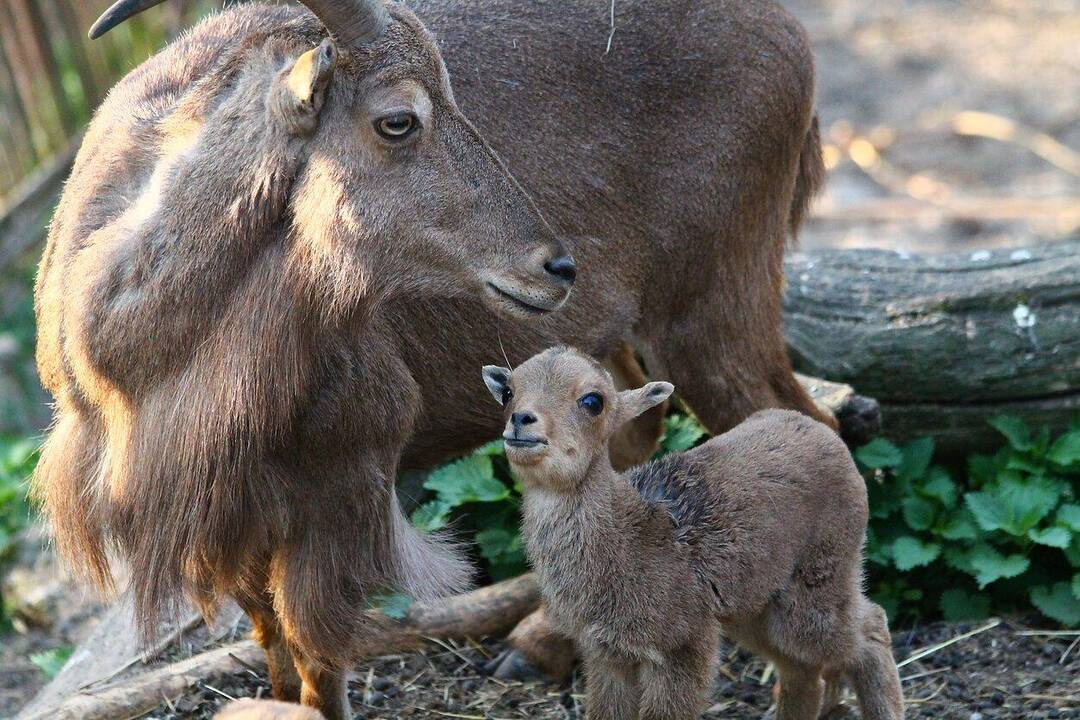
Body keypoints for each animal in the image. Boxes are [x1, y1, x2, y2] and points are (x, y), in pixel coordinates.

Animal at [33, 1, 825, 716]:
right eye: (398, 119)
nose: (556, 266)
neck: (144, 365)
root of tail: (788, 32)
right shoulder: (235, 516)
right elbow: (271, 642)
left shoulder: (335, 487)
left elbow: (315, 654)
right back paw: (541, 642)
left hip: (714, 306)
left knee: (799, 427)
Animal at [481, 345, 902, 716]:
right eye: (508, 392)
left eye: (592, 401)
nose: (522, 420)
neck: (630, 537)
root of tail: (828, 436)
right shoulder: (605, 652)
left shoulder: (686, 643)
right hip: (754, 608)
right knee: (802, 671)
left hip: (819, 584)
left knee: (872, 626)